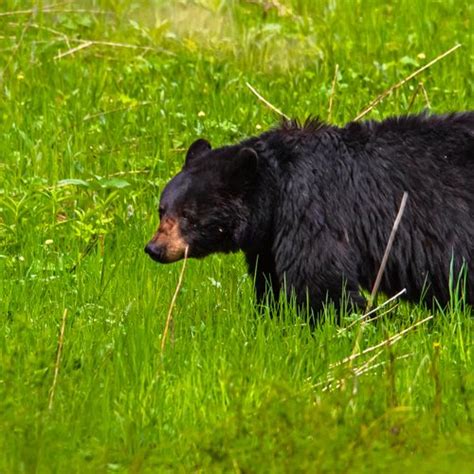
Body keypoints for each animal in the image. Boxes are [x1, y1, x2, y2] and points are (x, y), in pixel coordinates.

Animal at [145, 113, 474, 316]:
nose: (154, 248)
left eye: (188, 214)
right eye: (162, 209)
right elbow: (270, 281)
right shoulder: (268, 241)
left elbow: (320, 279)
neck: (276, 189)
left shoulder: (311, 211)